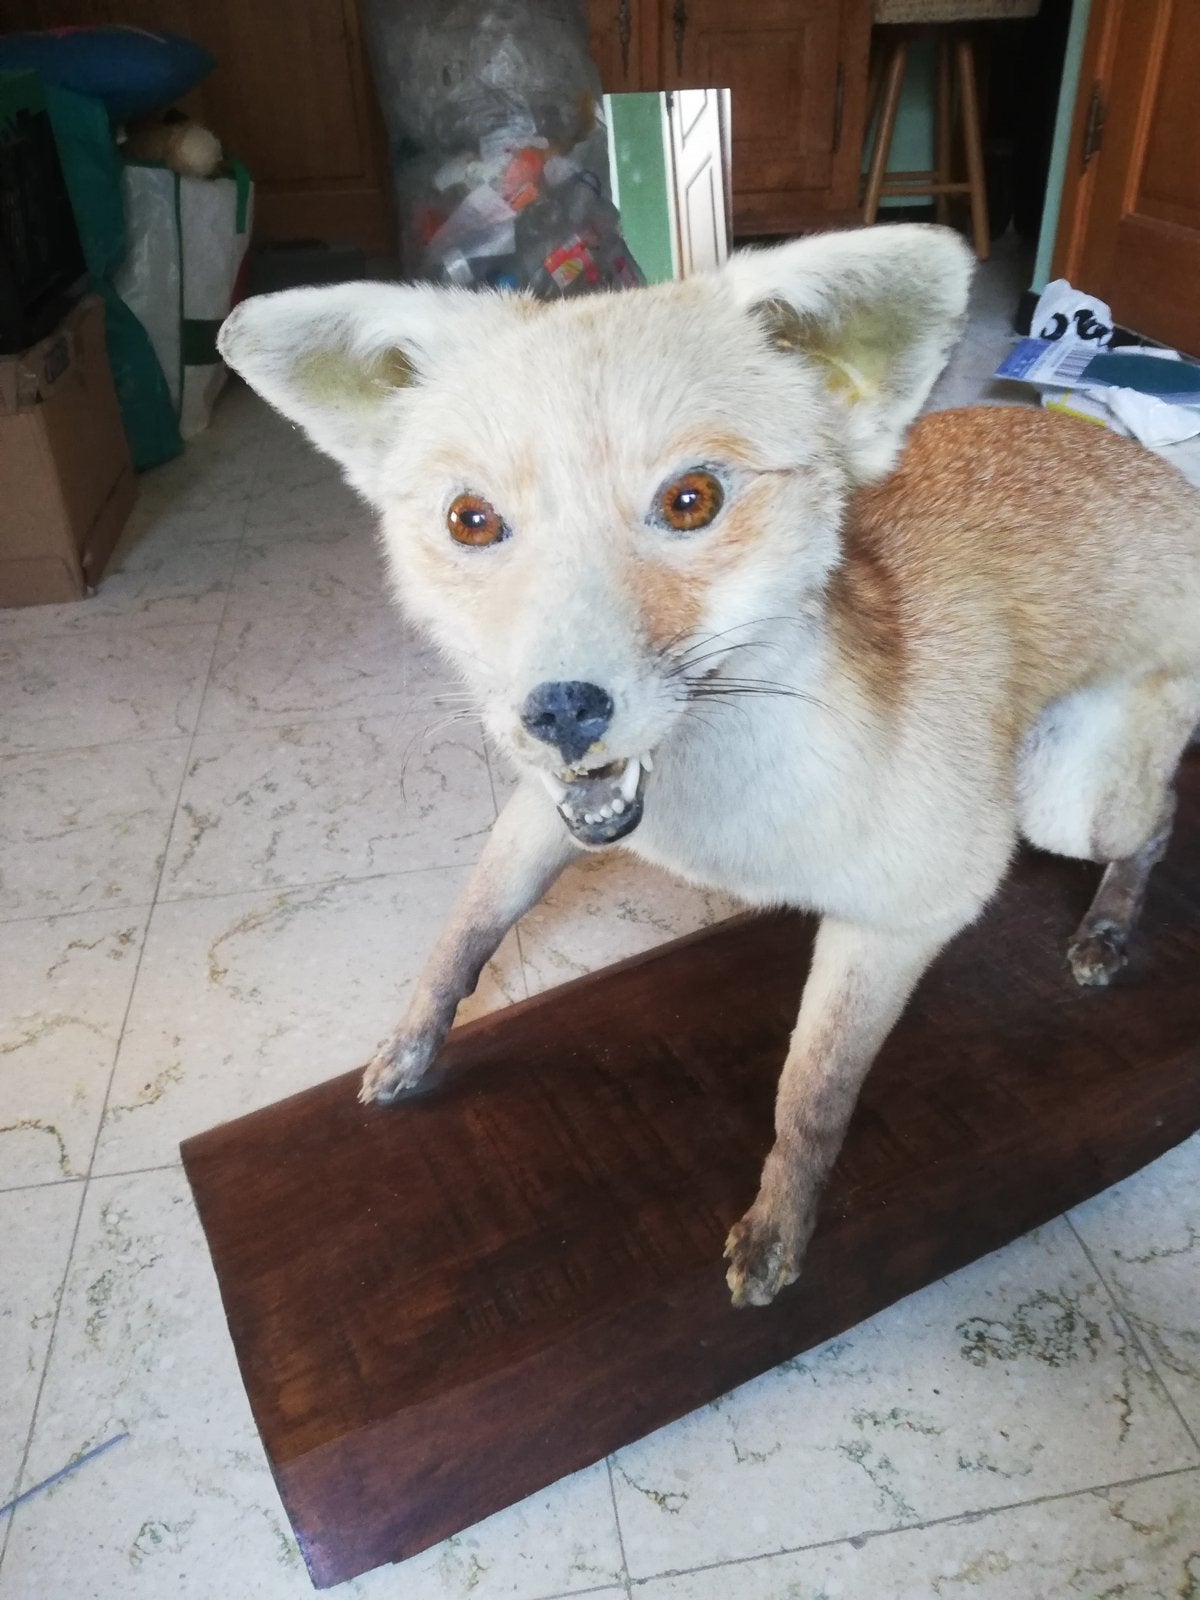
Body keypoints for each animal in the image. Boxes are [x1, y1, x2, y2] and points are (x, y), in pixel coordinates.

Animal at [218, 224, 1200, 1309]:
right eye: (472, 520)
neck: (720, 827)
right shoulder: (546, 811)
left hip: (1065, 806)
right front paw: (410, 1045)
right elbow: (461, 938)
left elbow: (811, 1092)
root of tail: (1156, 473)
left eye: (690, 501)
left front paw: (782, 1224)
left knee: (1159, 818)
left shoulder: (914, 909)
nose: (559, 710)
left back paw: (1110, 926)